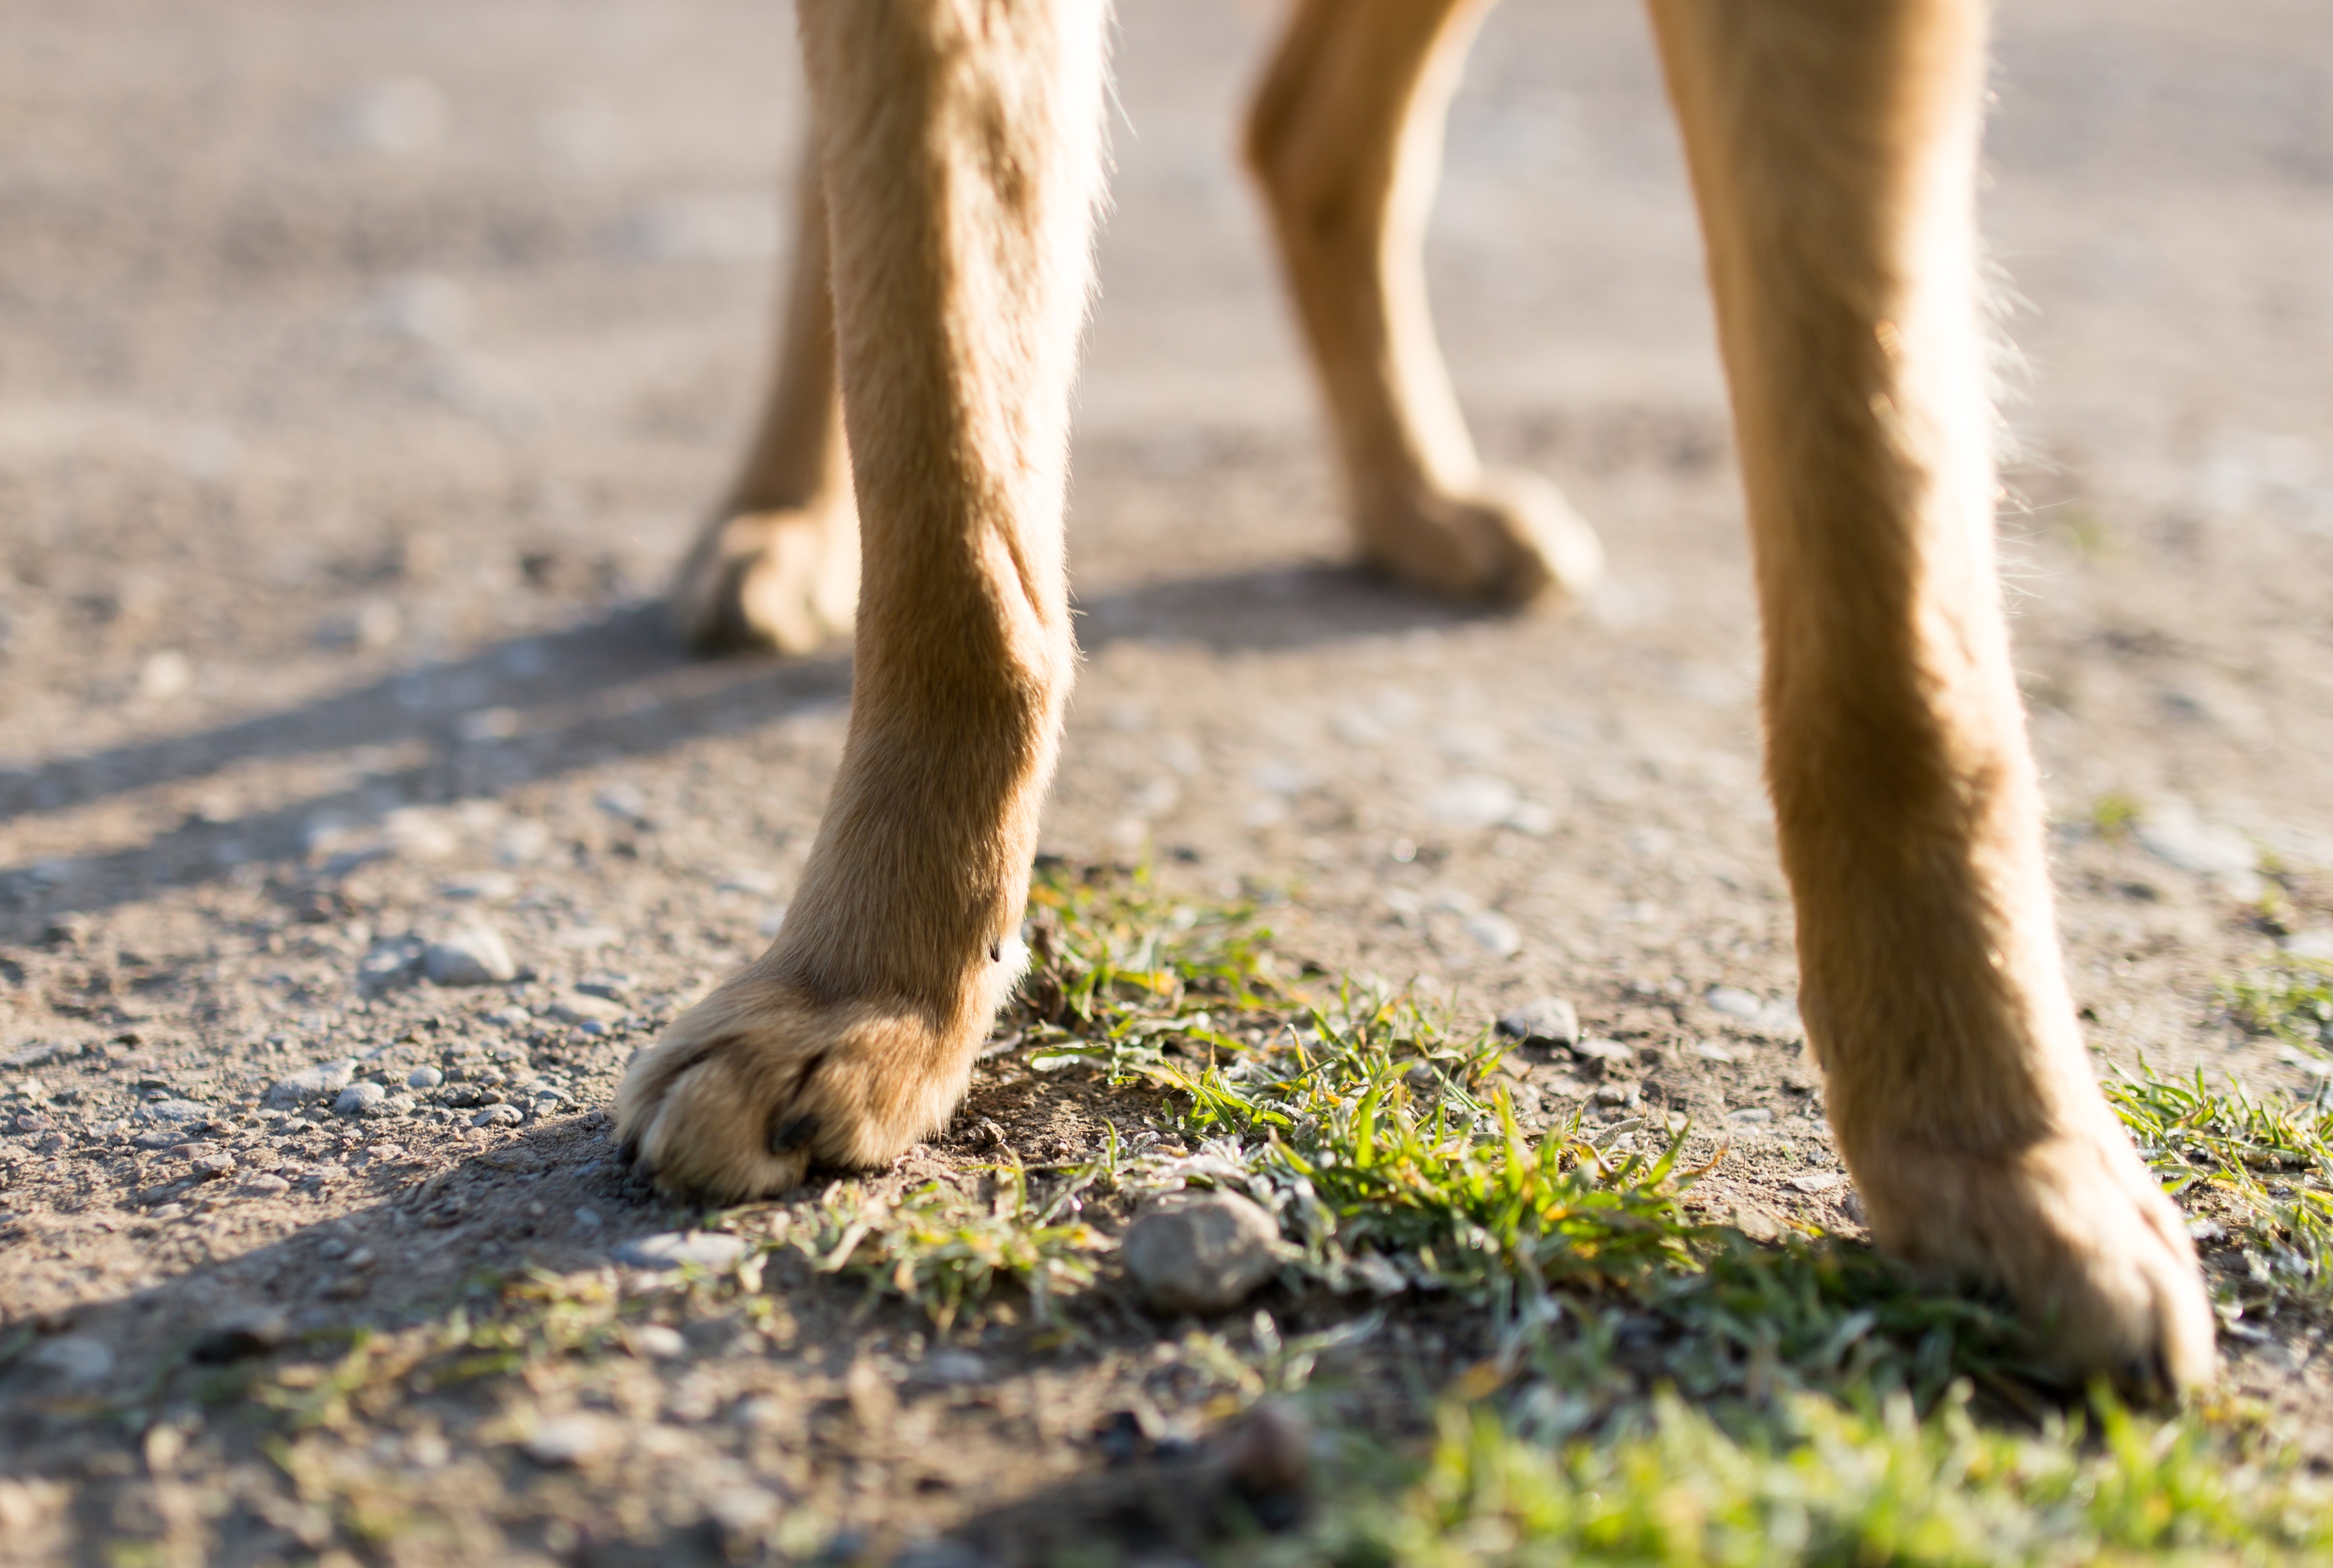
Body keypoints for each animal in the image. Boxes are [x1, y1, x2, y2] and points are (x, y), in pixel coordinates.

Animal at [611, 0, 2211, 1400]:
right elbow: (954, 515)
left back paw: (1417, 503)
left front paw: (1991, 1141)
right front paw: (869, 992)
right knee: (877, 192)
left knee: (1312, 137)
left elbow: (1890, 612)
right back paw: (779, 520)